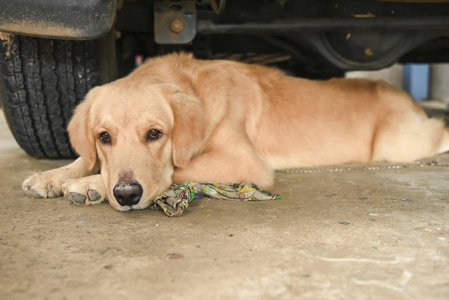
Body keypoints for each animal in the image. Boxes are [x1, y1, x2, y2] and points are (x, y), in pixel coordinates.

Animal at [21, 52, 449, 211]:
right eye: (104, 137)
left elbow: (178, 168)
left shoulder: (246, 162)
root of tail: (405, 96)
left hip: (398, 142)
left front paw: (88, 184)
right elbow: (81, 158)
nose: (126, 195)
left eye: (155, 134)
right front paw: (54, 175)